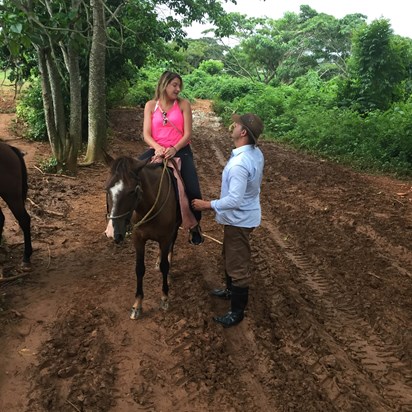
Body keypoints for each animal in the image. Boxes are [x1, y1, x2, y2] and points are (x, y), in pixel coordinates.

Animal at [104, 154, 181, 318]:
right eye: (107, 189)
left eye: (132, 191)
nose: (112, 232)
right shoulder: (138, 239)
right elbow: (139, 269)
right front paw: (137, 304)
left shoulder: (165, 238)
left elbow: (165, 266)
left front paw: (165, 297)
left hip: (176, 228)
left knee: (172, 244)